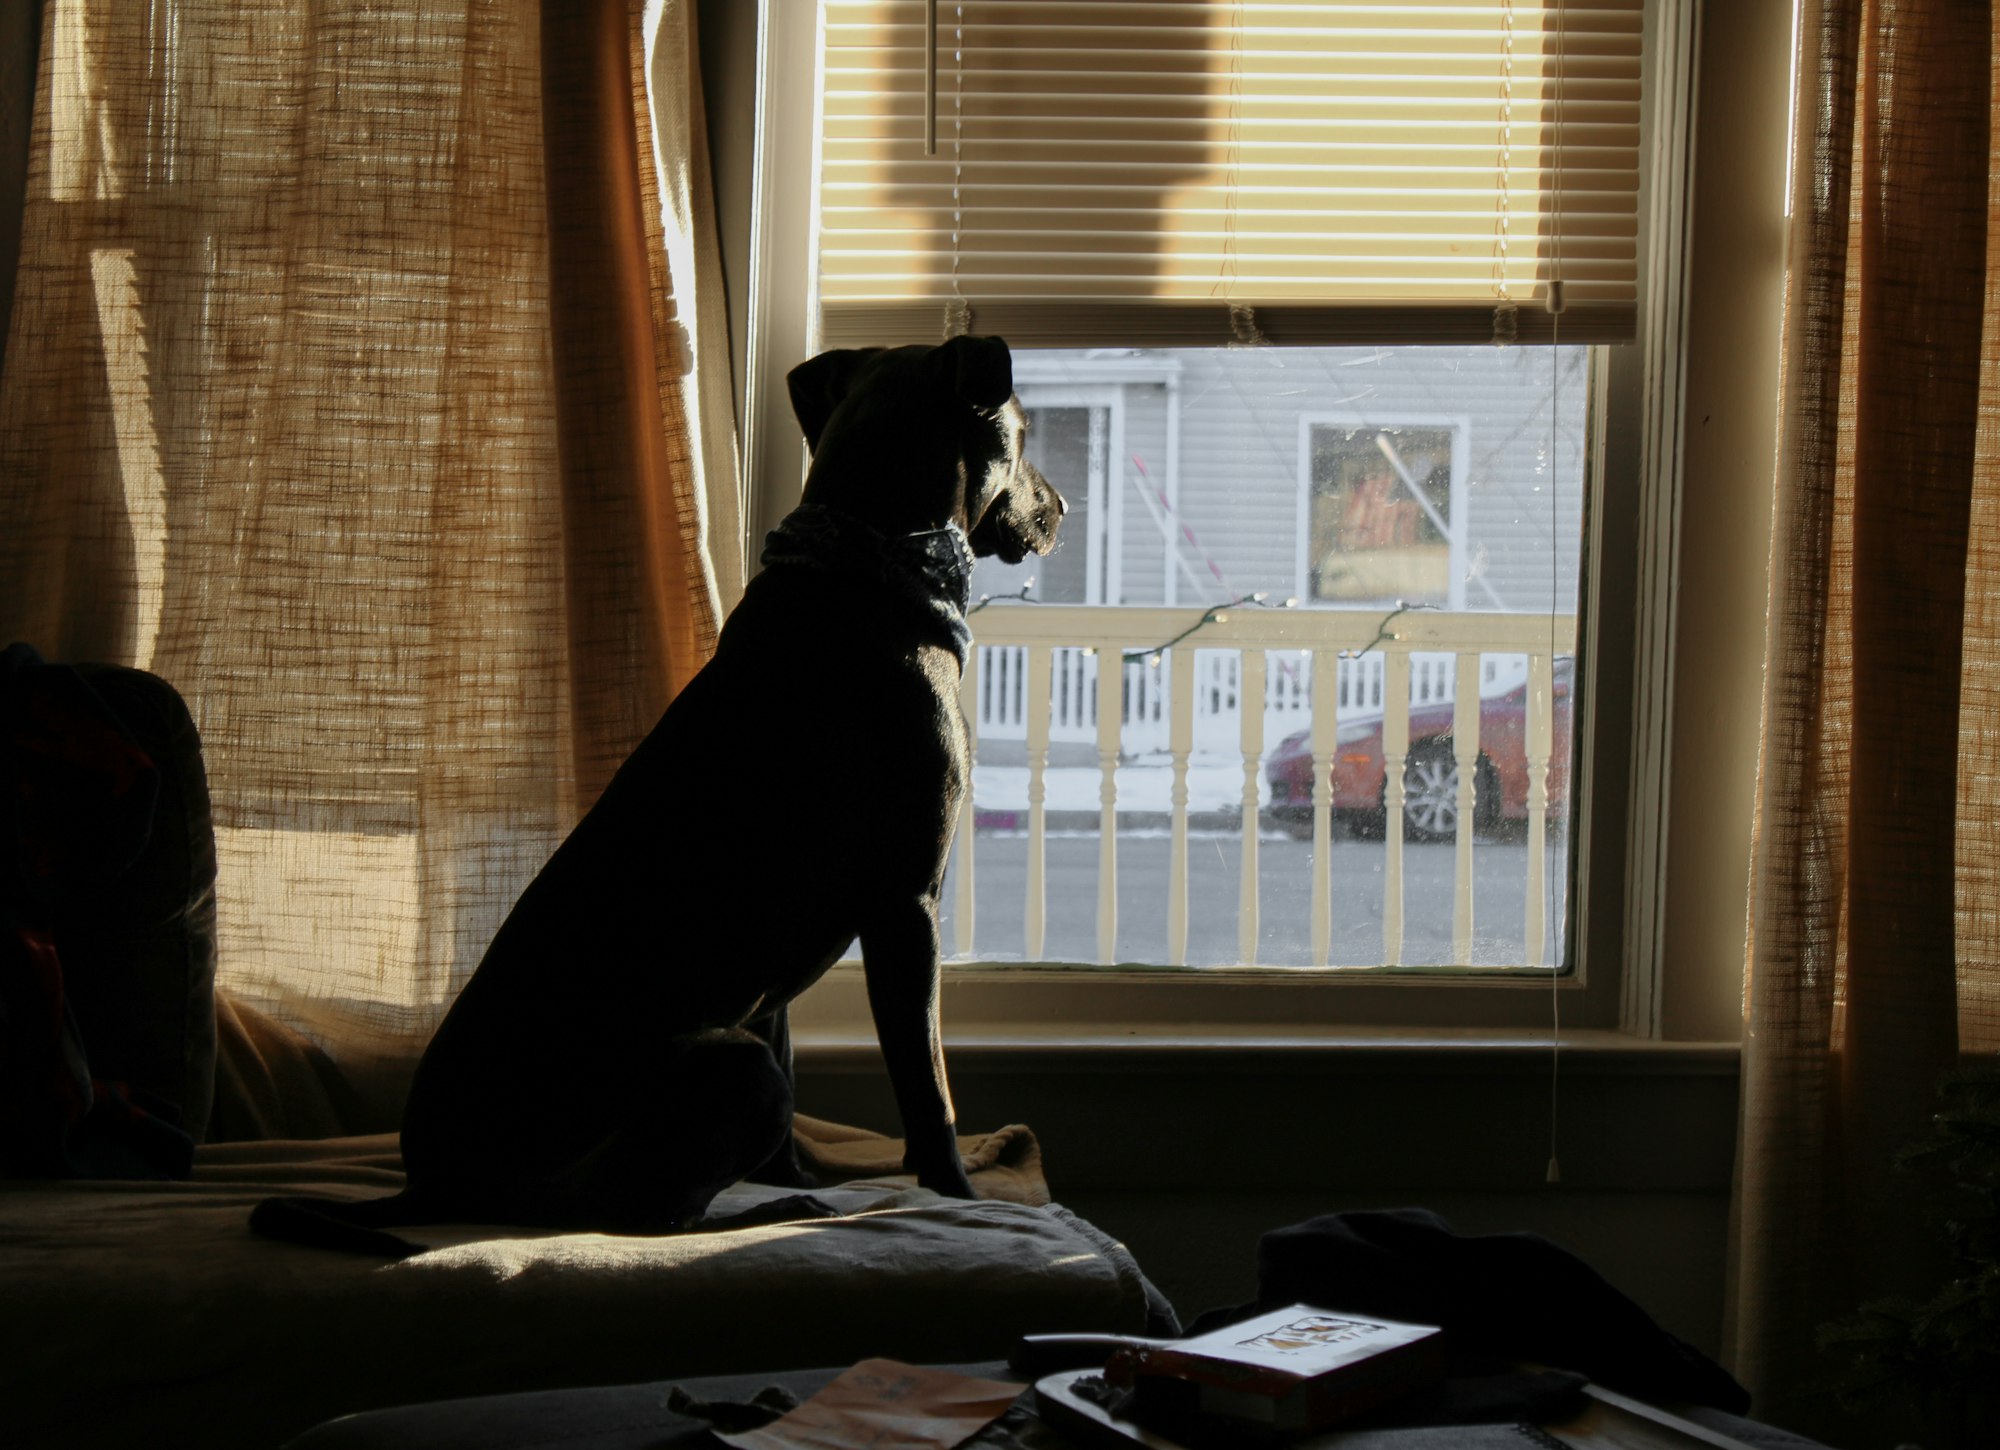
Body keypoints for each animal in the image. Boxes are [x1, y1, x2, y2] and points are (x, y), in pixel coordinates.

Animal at [258, 334, 1072, 1248]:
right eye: (1022, 433)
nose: (1061, 507)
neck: (866, 563)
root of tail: (430, 1184)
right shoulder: (906, 908)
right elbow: (929, 1089)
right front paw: (958, 1197)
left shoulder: (775, 979)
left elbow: (796, 1078)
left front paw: (798, 1174)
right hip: (728, 1069)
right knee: (640, 1217)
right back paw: (774, 1214)